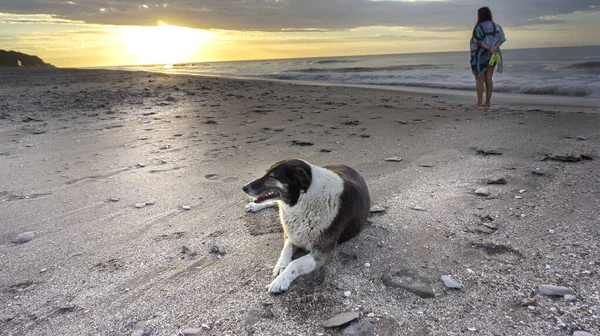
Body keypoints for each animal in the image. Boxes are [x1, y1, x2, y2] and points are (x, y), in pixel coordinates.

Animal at [241, 159, 368, 292]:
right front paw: (281, 265)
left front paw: (281, 280)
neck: (305, 200)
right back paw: (254, 206)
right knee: (275, 202)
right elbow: (286, 250)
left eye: (271, 177)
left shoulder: (323, 253)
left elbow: (295, 263)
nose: (244, 187)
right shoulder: (292, 235)